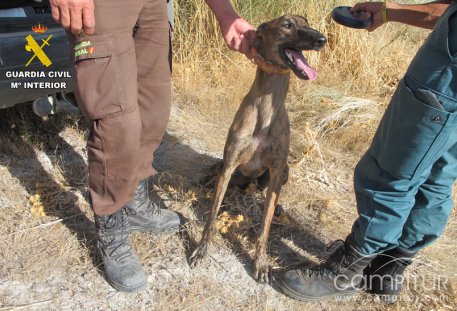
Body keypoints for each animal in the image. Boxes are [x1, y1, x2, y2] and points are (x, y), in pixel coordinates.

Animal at [190, 14, 328, 282]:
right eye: (287, 24)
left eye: (306, 21)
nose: (322, 39)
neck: (266, 109)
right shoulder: (230, 163)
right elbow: (211, 216)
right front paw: (201, 250)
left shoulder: (276, 170)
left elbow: (264, 226)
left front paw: (261, 263)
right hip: (225, 167)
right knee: (216, 174)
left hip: (283, 172)